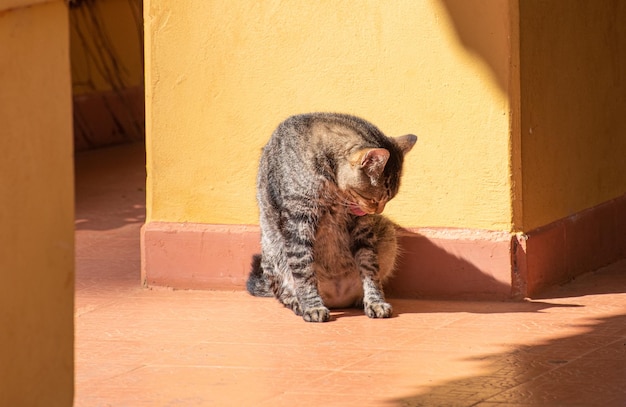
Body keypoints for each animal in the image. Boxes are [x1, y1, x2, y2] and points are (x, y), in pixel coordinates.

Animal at [245, 113, 414, 324]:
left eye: (387, 200)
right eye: (374, 199)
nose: (378, 210)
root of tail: (337, 298)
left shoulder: (362, 227)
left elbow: (370, 268)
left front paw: (375, 301)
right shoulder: (298, 220)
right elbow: (304, 271)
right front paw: (312, 306)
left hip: (388, 232)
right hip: (272, 251)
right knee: (283, 292)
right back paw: (298, 303)